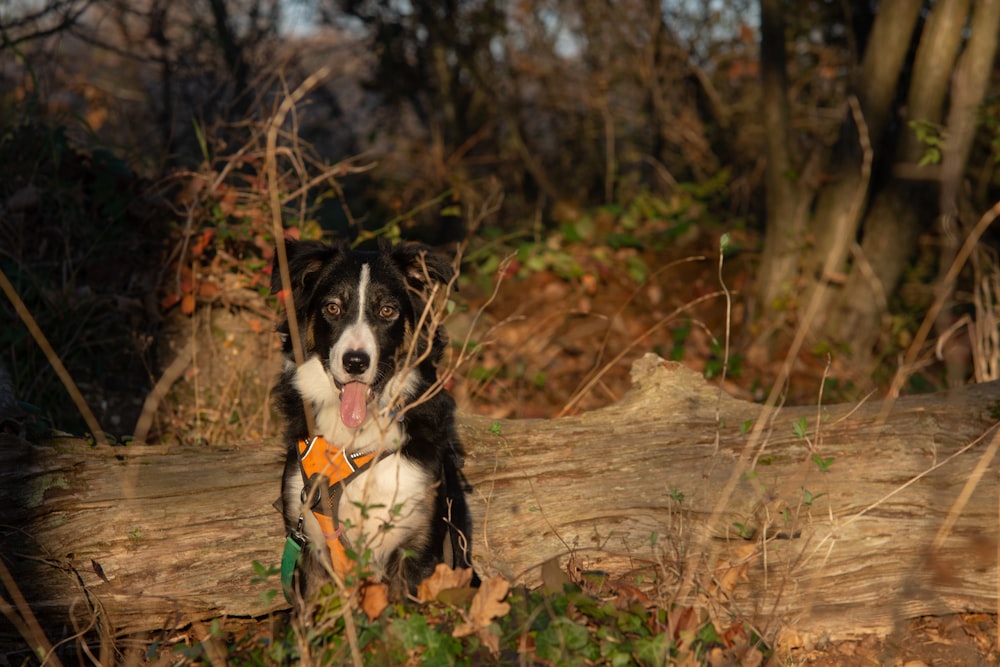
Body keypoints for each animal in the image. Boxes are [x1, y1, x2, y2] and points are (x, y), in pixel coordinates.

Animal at [272, 239, 474, 600]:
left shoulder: (418, 543)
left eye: (387, 311)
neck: (354, 442)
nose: (355, 362)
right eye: (333, 308)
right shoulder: (310, 544)